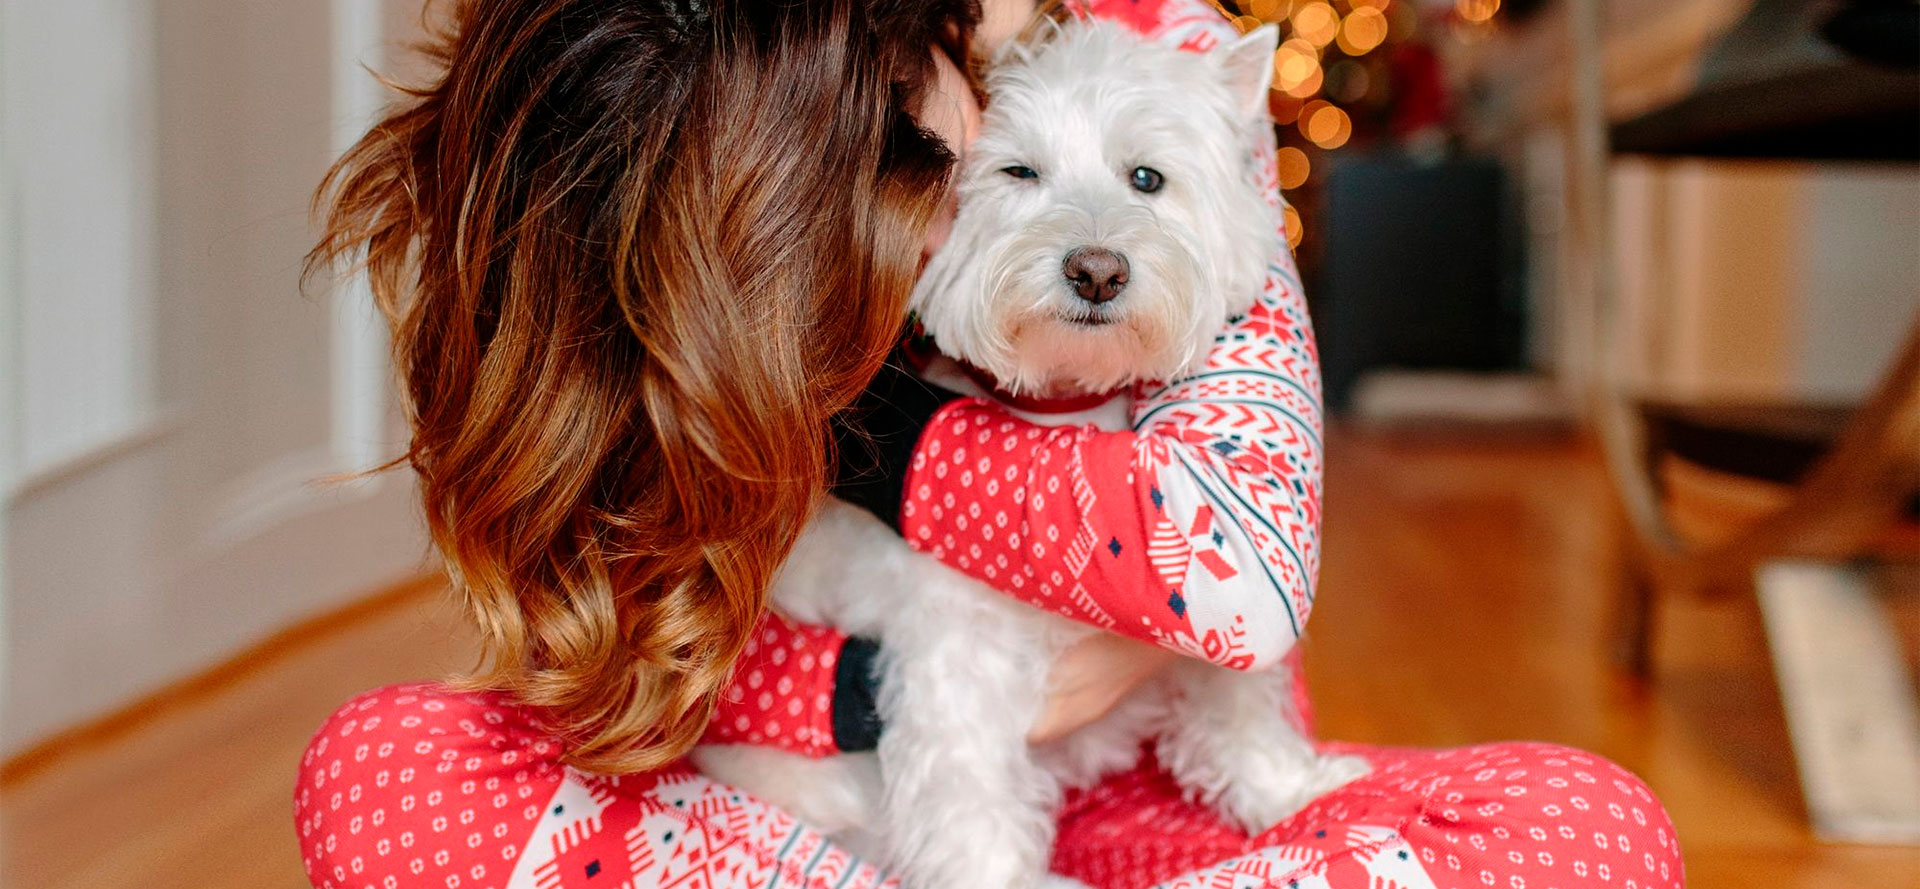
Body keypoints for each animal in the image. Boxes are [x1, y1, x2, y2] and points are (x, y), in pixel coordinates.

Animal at [691, 20, 1367, 889]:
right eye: (1018, 172)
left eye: (1146, 177)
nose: (1097, 270)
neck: (1065, 404)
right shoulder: (953, 660)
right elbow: (969, 800)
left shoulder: (1202, 599)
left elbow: (1236, 696)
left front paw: (1292, 788)